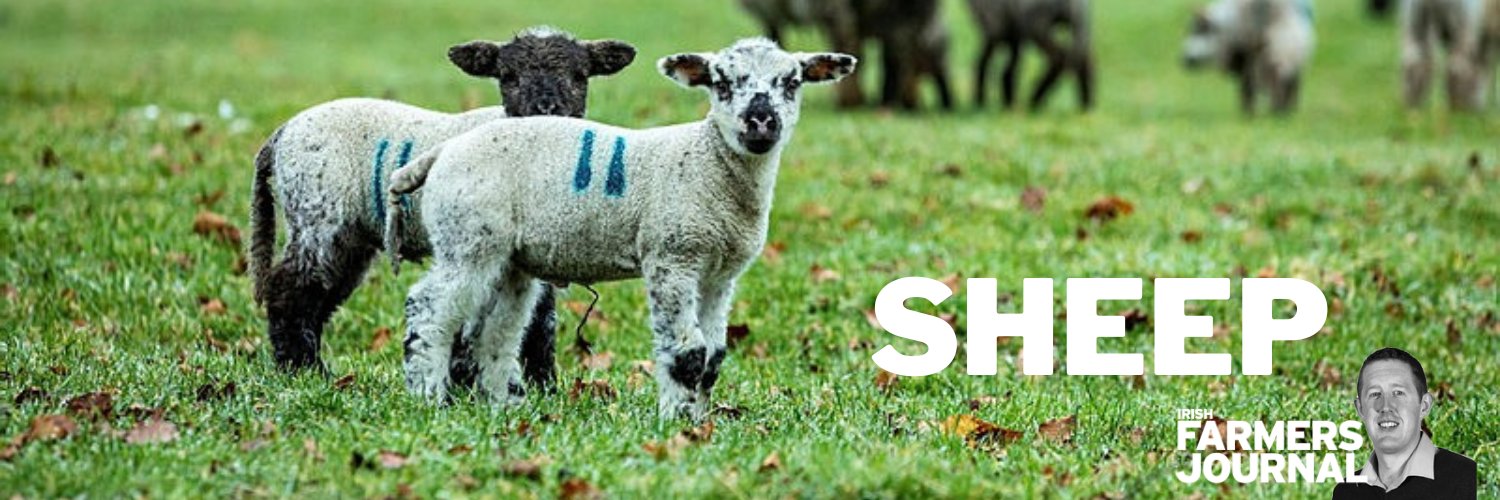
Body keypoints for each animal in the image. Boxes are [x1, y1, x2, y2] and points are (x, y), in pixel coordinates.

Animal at [248, 27, 637, 392]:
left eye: (580, 75)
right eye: (507, 76)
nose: (545, 111)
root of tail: (279, 135)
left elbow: (540, 320)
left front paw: (544, 386)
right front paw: (465, 380)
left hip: (349, 236)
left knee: (319, 295)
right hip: (318, 213)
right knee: (290, 288)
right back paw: (301, 370)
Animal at [383, 38, 855, 419]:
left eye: (792, 82)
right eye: (720, 83)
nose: (760, 122)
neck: (709, 164)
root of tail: (441, 152)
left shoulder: (720, 275)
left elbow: (714, 357)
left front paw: (702, 419)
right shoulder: (672, 257)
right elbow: (688, 354)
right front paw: (677, 421)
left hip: (507, 258)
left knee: (495, 334)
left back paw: (504, 406)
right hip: (467, 238)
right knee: (428, 308)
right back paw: (429, 397)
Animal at [1181, 0, 1314, 115]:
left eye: (1198, 30)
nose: (1182, 59)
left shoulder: (1243, 58)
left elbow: (1246, 86)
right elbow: (1249, 86)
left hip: (1280, 50)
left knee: (1279, 82)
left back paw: (1276, 112)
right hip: (1286, 53)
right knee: (1287, 81)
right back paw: (1282, 111)